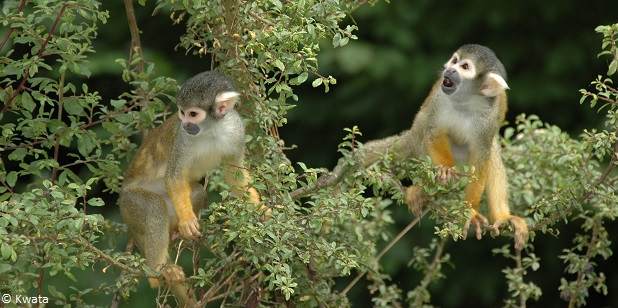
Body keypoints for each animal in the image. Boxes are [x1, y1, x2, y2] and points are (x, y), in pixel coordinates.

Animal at [117, 71, 260, 306]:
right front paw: (186, 221)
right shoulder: (182, 140)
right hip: (130, 202)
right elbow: (174, 176)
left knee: (198, 192)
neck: (212, 128)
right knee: (154, 207)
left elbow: (235, 174)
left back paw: (174, 233)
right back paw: (159, 272)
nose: (184, 124)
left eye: (193, 114)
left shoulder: (236, 129)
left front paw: (260, 208)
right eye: (182, 113)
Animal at [364, 44, 528, 250]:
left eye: (465, 67)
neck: (466, 102)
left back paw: (503, 217)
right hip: (417, 137)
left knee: (492, 151)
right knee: (424, 128)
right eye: (454, 61)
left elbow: (481, 157)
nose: (450, 70)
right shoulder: (438, 99)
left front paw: (469, 212)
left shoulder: (488, 117)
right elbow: (434, 131)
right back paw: (424, 189)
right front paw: (445, 169)